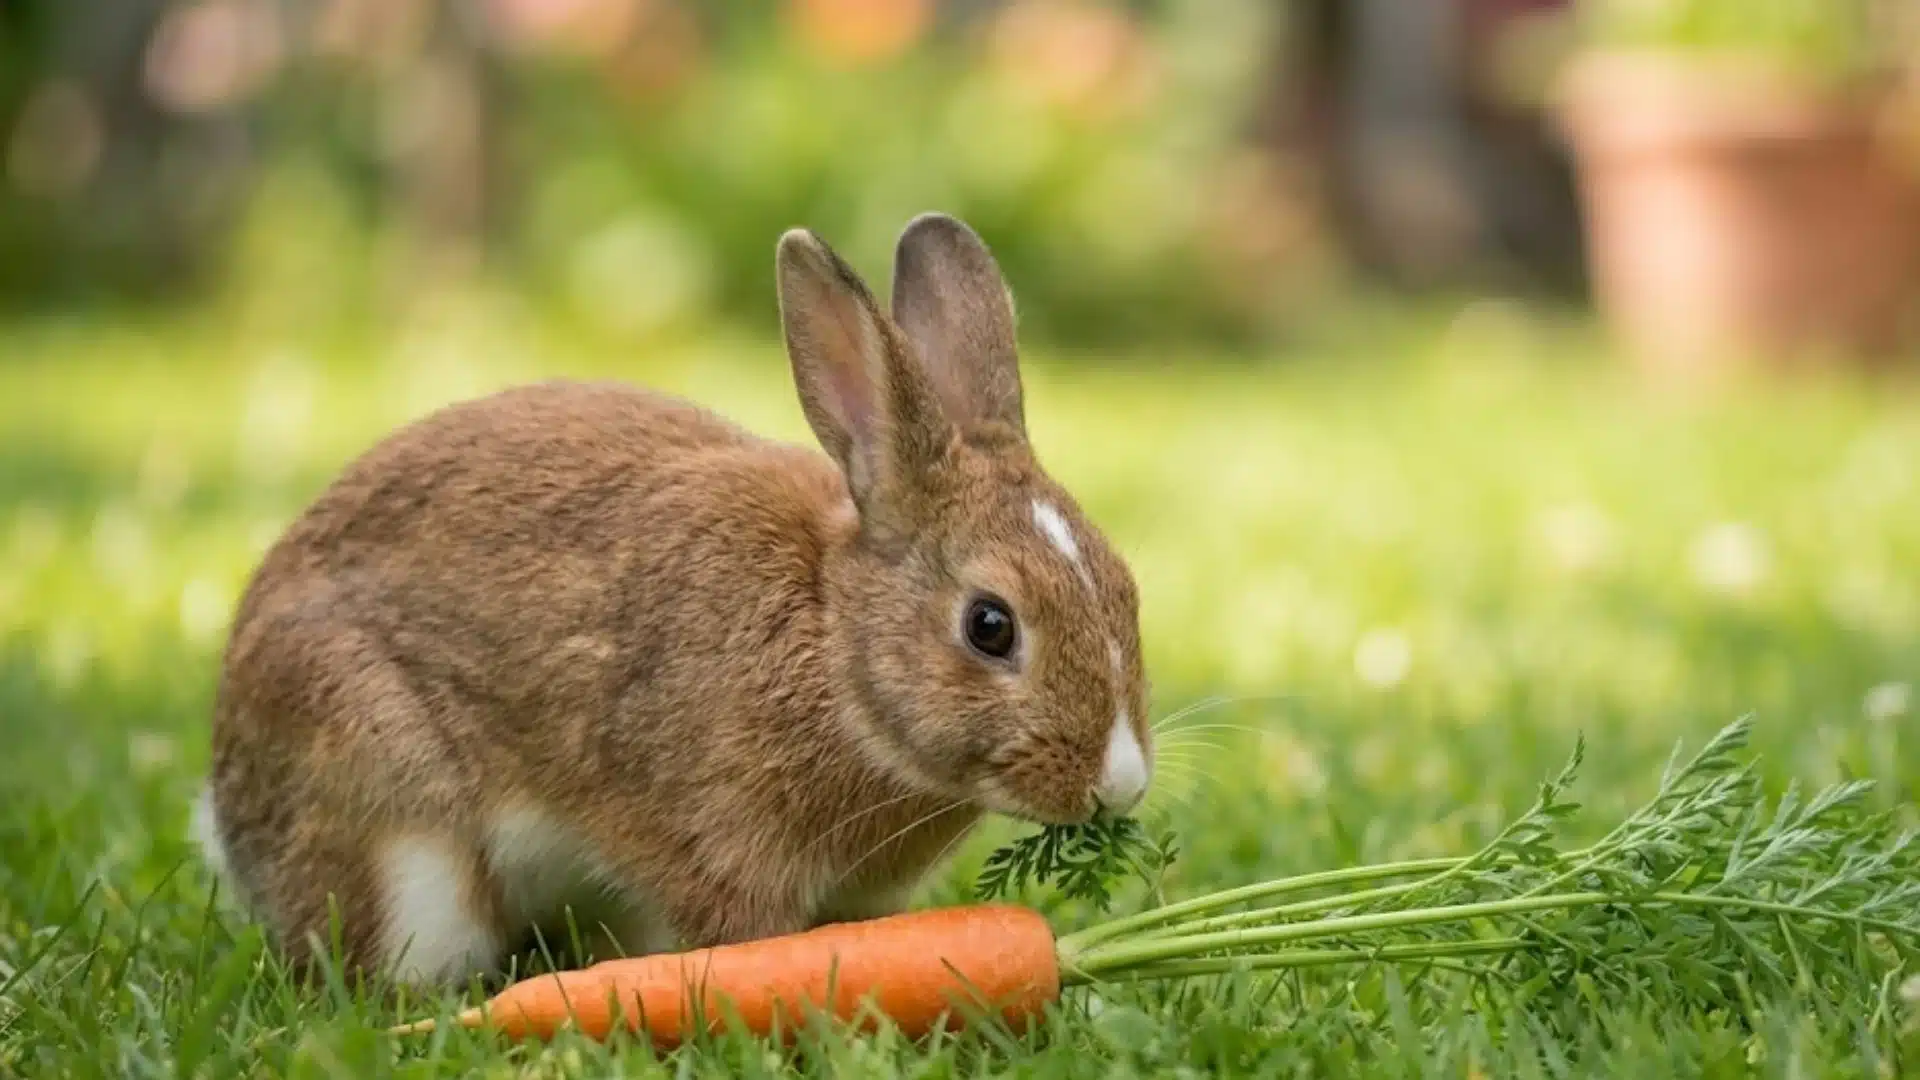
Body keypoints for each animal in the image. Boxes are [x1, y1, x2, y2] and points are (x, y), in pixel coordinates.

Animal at [190, 212, 1153, 988]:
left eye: (1126, 589)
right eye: (990, 627)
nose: (1120, 786)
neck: (833, 642)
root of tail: (230, 810)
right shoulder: (716, 850)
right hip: (396, 831)